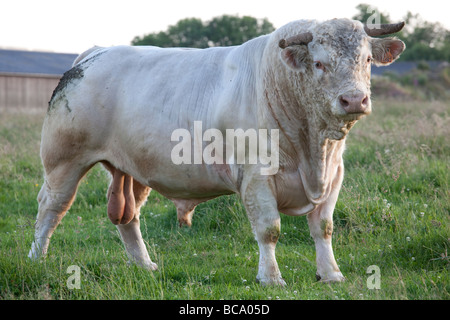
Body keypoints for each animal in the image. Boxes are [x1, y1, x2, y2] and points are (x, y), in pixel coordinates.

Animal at [29, 18, 406, 284]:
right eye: (319, 64)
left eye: (367, 59)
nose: (354, 100)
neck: (312, 148)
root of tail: (97, 52)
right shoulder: (256, 177)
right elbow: (269, 229)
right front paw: (271, 277)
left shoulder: (334, 173)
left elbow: (323, 228)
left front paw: (330, 274)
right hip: (64, 160)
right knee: (52, 207)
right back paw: (36, 259)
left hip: (133, 168)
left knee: (128, 216)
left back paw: (144, 264)